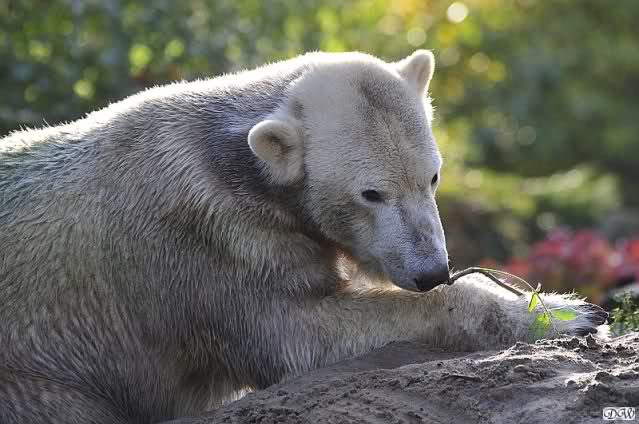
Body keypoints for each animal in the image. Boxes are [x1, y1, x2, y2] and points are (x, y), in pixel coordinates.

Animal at [0, 50, 607, 423]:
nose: (431, 270)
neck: (234, 164)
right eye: (371, 193)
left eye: (432, 176)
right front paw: (562, 312)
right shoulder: (209, 240)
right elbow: (295, 333)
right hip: (37, 374)